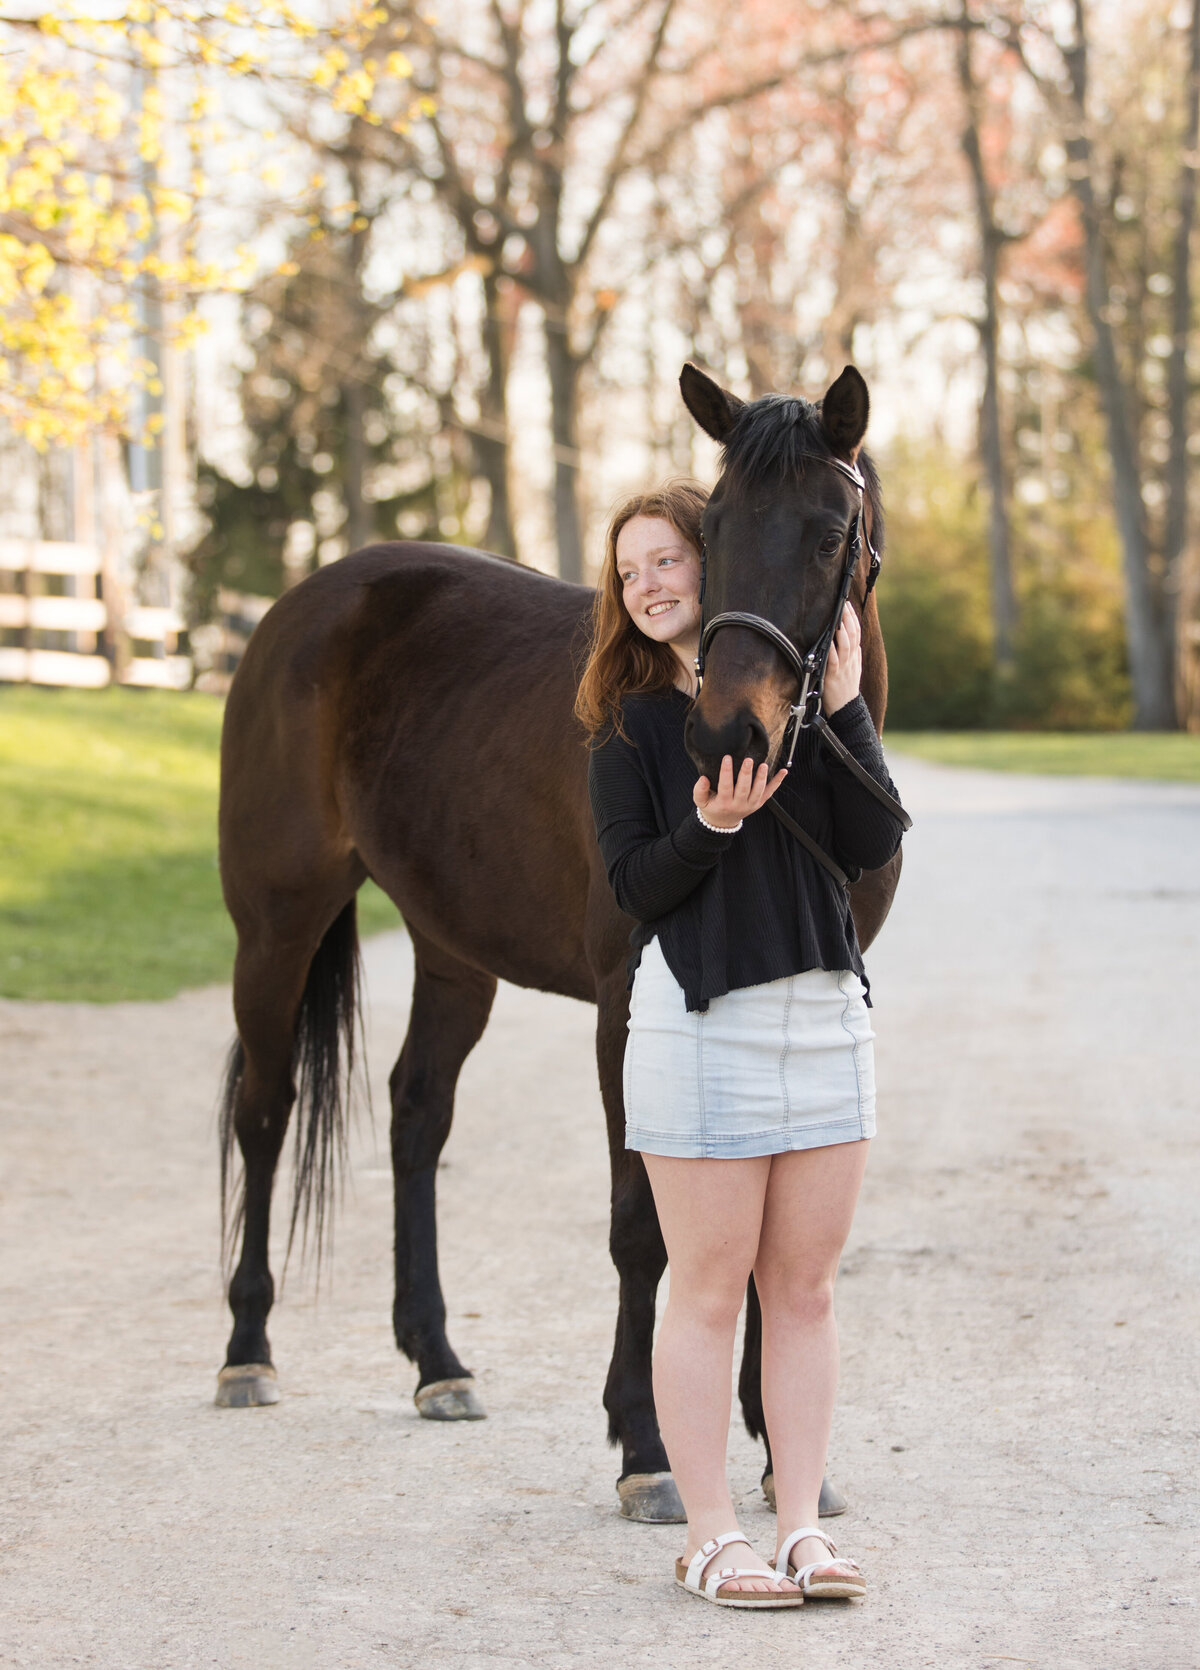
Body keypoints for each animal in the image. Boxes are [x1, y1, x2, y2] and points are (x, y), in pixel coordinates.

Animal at [218, 359, 901, 1523]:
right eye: (712, 527)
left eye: (825, 534)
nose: (728, 735)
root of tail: (300, 607)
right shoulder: (628, 1005)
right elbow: (643, 1225)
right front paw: (647, 1446)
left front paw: (779, 1449)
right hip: (277, 924)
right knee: (266, 1112)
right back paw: (248, 1348)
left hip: (452, 952)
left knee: (416, 1115)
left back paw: (438, 1362)